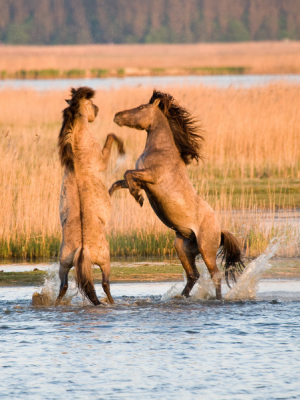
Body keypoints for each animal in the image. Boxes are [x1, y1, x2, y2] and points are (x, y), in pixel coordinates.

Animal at [57, 87, 124, 304]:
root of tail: (82, 249)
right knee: (105, 283)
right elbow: (111, 136)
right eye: (91, 103)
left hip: (63, 264)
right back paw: (110, 303)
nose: (97, 110)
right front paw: (122, 148)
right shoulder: (102, 161)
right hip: (105, 261)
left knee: (63, 285)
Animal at [109, 89, 245, 298]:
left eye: (141, 107)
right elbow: (120, 181)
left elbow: (127, 174)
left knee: (215, 274)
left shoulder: (151, 176)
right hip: (182, 248)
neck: (160, 149)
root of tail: (219, 229)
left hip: (206, 250)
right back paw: (182, 296)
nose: (117, 115)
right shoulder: (143, 178)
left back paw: (217, 298)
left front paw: (138, 197)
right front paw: (111, 194)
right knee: (193, 275)